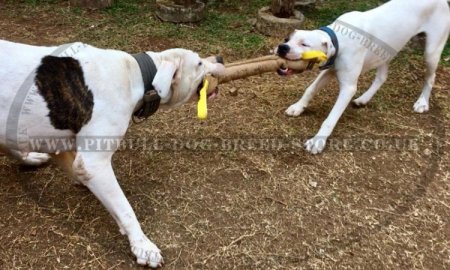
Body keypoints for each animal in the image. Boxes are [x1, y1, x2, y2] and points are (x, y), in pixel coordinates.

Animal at [0, 39, 225, 266]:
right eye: (198, 63)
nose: (220, 58)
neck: (136, 74)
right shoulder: (93, 164)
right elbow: (125, 209)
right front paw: (142, 244)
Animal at [278, 0, 450, 153]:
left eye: (304, 44)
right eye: (287, 39)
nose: (282, 47)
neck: (339, 39)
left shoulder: (348, 87)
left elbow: (331, 118)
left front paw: (318, 141)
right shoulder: (329, 71)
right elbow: (310, 88)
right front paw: (298, 107)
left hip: (431, 53)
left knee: (430, 77)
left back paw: (422, 103)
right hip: (385, 52)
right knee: (382, 77)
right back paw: (364, 99)